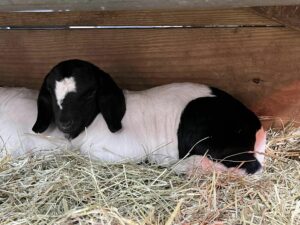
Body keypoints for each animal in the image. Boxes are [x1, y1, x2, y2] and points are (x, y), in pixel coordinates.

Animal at [0, 59, 268, 176]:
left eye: (90, 93)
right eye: (49, 92)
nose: (65, 123)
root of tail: (255, 128)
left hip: (210, 141)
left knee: (251, 167)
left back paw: (184, 167)